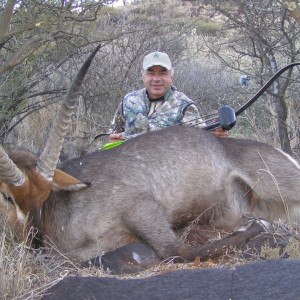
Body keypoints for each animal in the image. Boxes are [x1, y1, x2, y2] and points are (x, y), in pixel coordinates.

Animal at [0, 45, 300, 262]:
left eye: (44, 195)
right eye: (8, 197)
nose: (35, 242)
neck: (59, 210)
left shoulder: (140, 207)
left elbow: (177, 250)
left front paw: (256, 227)